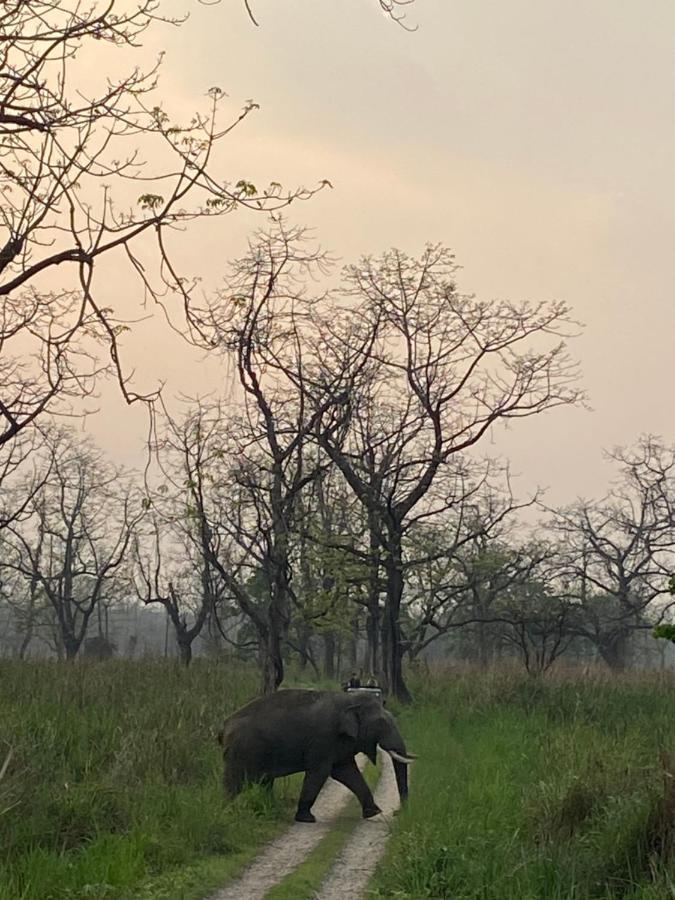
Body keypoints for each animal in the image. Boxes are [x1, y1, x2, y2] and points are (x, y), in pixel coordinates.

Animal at [219, 688, 414, 824]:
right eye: (381, 723)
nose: (397, 812)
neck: (348, 700)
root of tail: (224, 726)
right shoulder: (324, 738)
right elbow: (320, 773)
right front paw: (307, 819)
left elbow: (346, 772)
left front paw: (373, 812)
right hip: (241, 752)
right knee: (234, 783)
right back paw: (228, 812)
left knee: (264, 782)